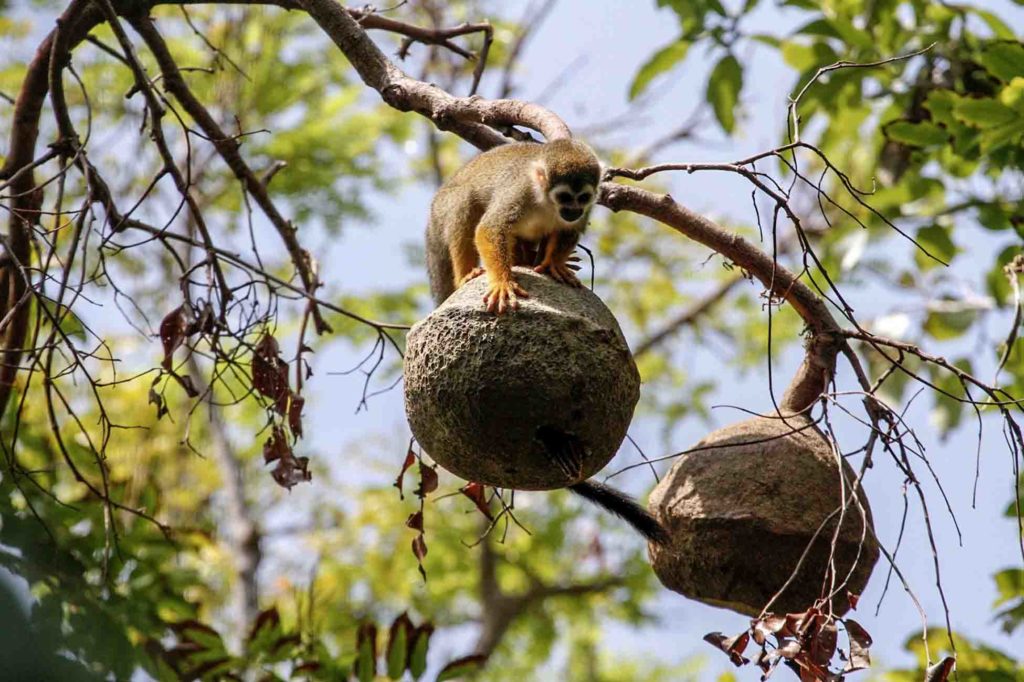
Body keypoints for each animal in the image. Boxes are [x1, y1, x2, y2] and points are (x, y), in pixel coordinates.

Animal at [425, 137, 598, 311]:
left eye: (583, 198)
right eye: (564, 197)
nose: (574, 211)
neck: (548, 202)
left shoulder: (587, 208)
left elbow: (569, 230)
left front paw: (555, 263)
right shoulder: (520, 191)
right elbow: (491, 228)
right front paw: (502, 282)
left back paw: (527, 258)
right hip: (442, 209)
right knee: (464, 201)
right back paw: (466, 275)